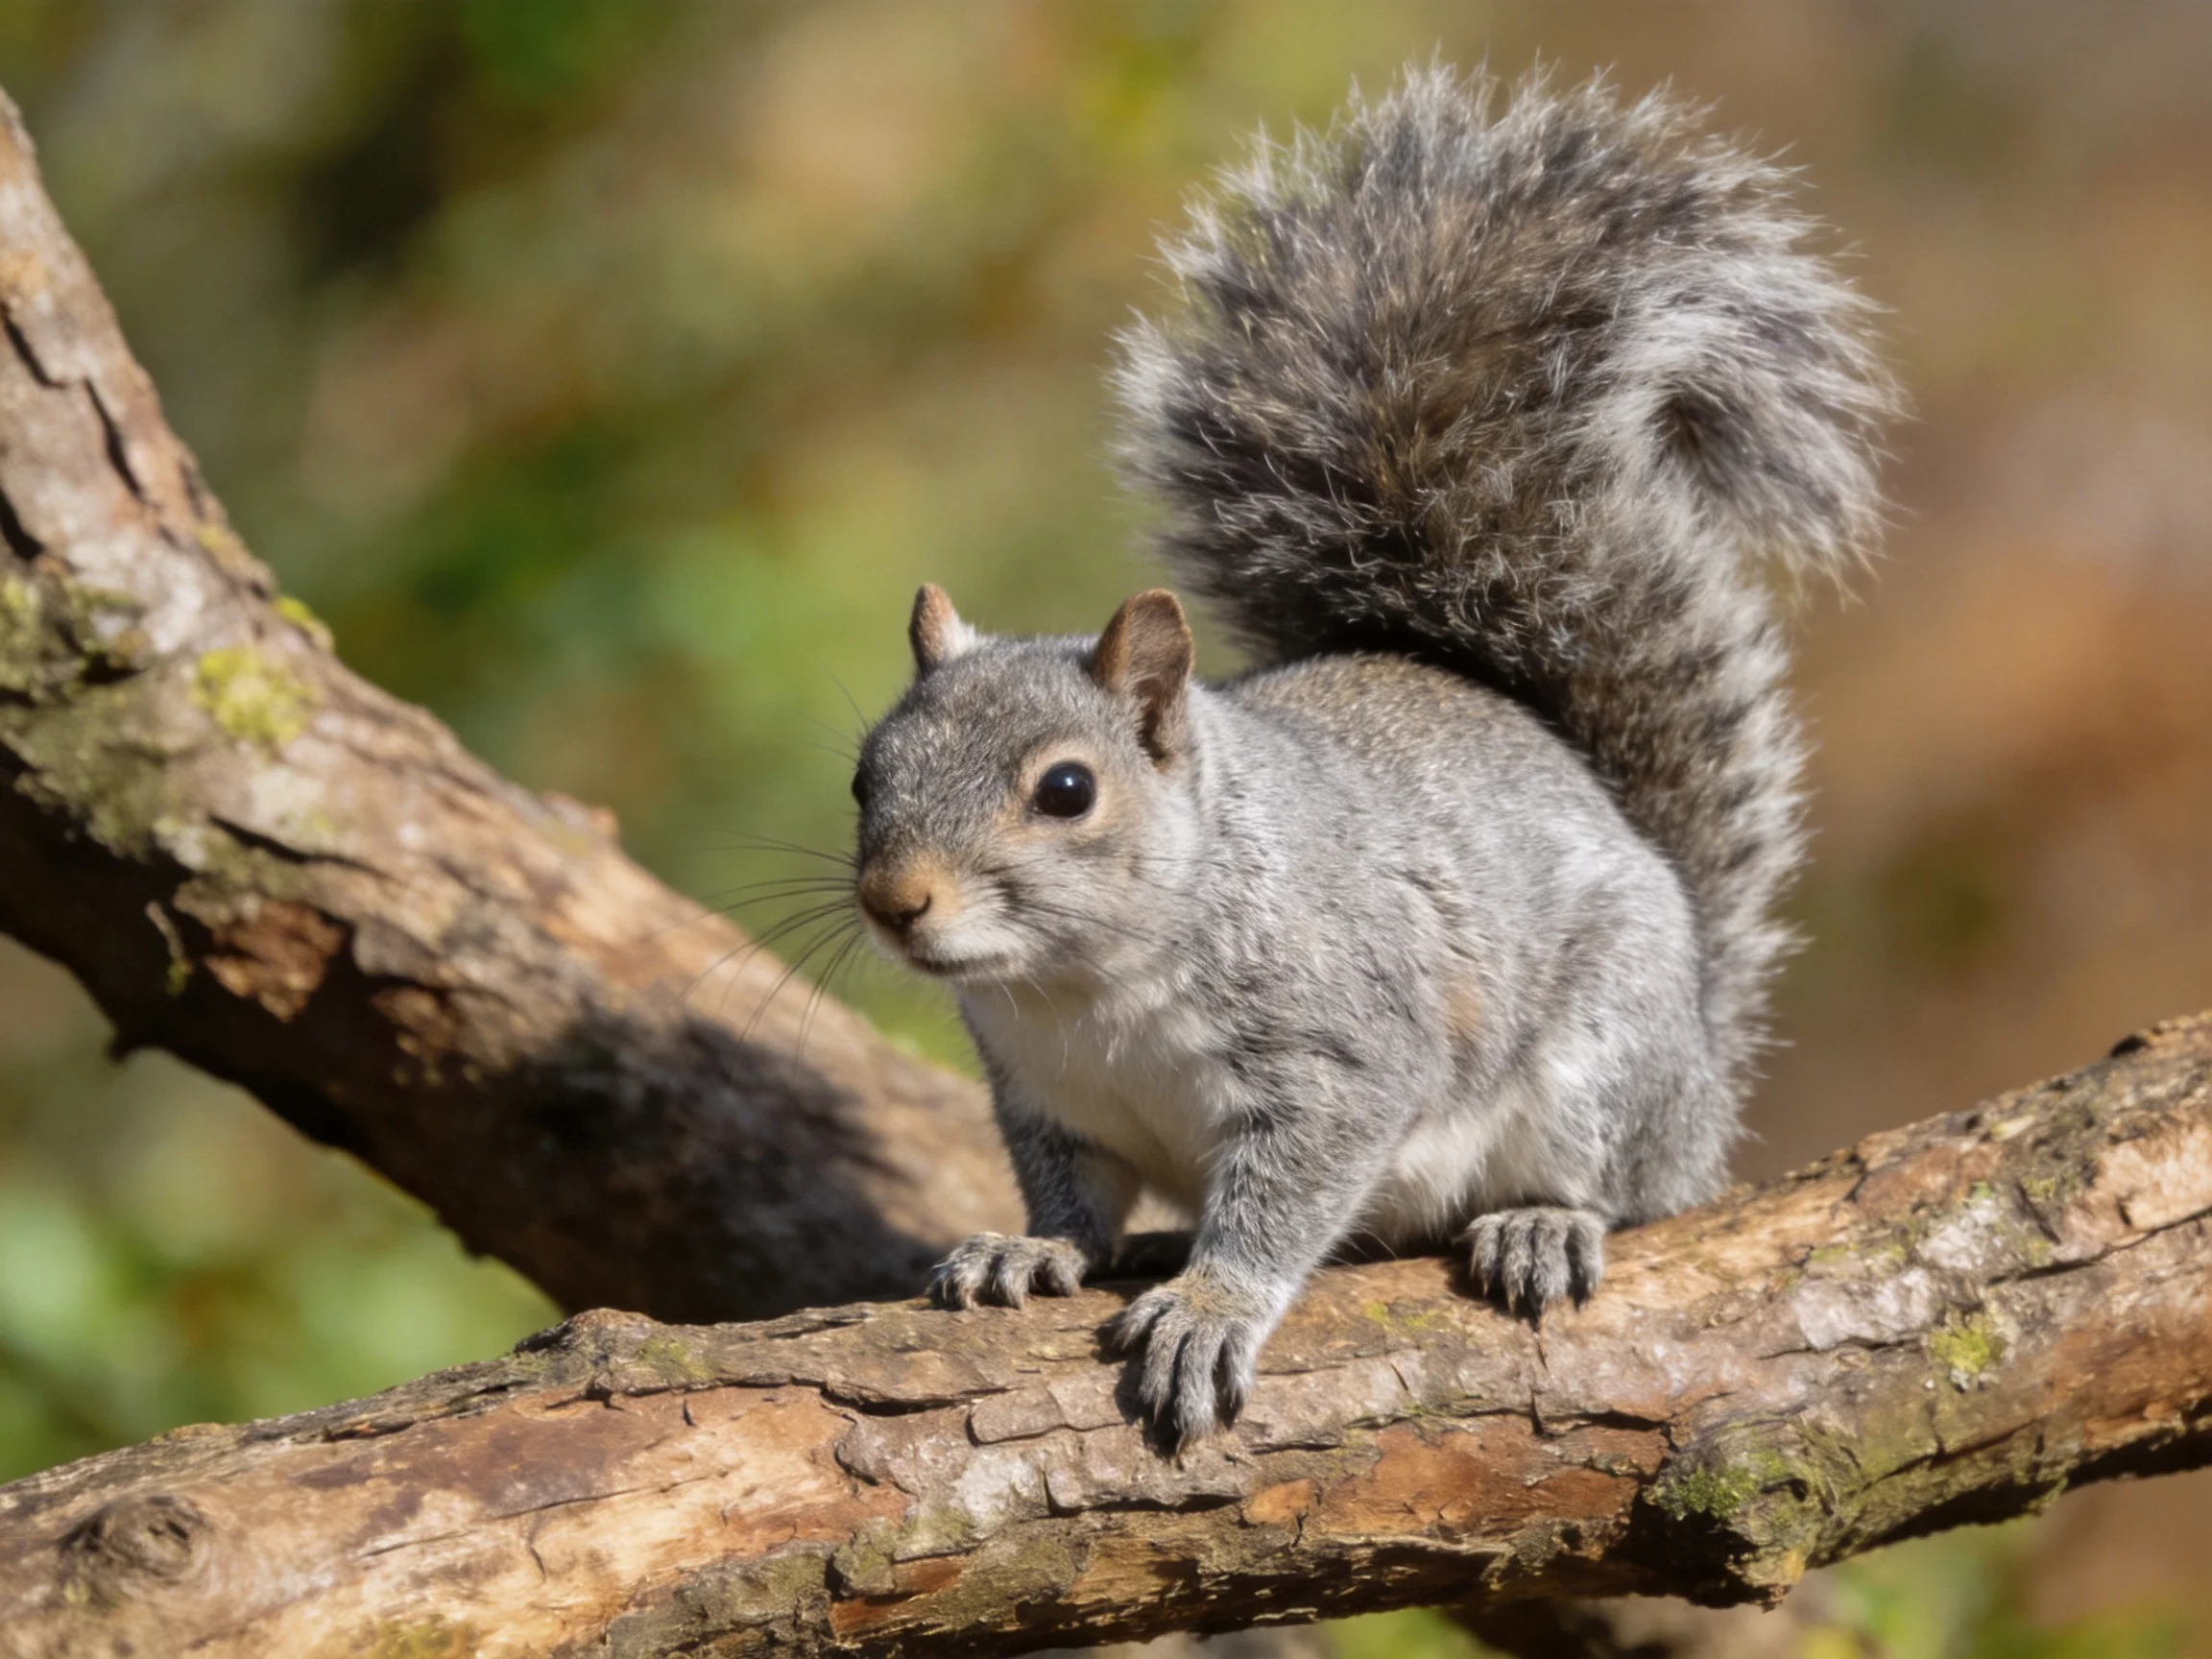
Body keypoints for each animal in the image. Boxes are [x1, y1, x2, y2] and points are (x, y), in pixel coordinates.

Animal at [847, 66, 1897, 1449]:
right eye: (865, 774)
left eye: (1066, 790)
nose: (893, 901)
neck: (1088, 988)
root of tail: (1706, 1069)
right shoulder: (1044, 1099)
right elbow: (1070, 1194)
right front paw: (1036, 1249)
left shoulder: (1345, 1056)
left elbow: (1285, 1198)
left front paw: (1210, 1309)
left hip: (1605, 1059)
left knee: (1623, 1186)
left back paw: (1545, 1222)